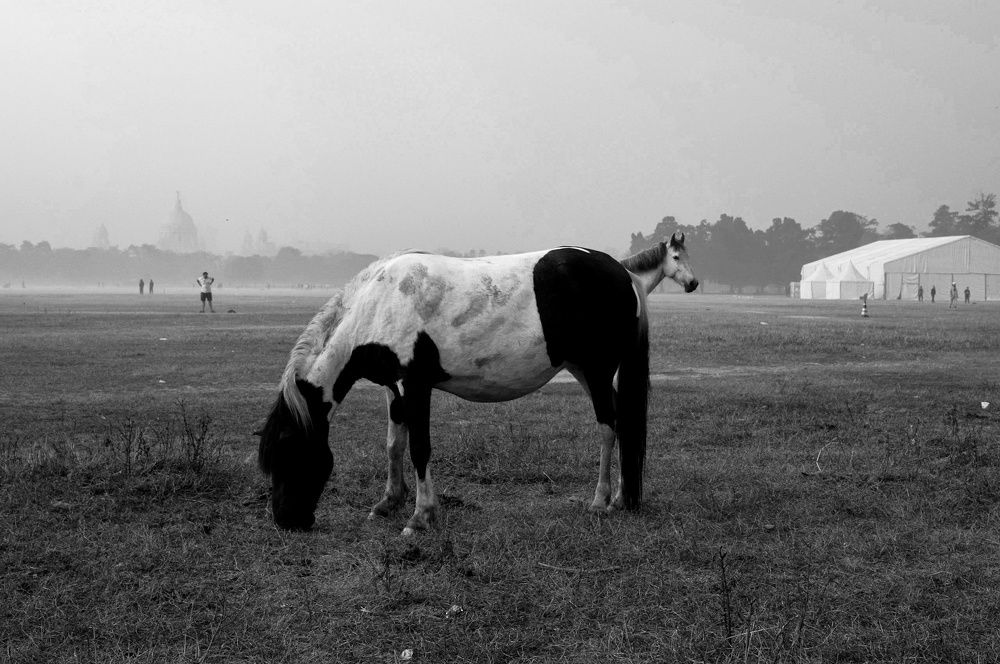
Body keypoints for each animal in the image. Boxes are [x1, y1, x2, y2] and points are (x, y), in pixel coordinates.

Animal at [257, 233, 698, 533]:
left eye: (288, 452)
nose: (286, 520)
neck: (380, 302)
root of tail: (623, 274)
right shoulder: (393, 387)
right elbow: (394, 444)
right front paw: (388, 502)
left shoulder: (416, 385)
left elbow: (419, 448)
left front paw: (421, 516)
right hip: (585, 370)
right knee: (620, 423)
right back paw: (622, 497)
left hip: (597, 367)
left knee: (608, 427)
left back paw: (600, 500)